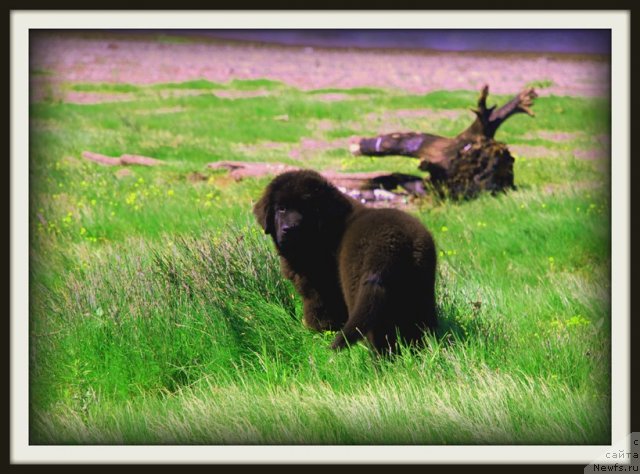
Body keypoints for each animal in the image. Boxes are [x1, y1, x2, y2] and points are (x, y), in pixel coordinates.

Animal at [252, 169, 438, 352]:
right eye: (281, 209)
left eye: (307, 209)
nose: (290, 229)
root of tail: (393, 245)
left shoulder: (318, 287)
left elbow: (318, 310)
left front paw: (317, 332)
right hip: (420, 289)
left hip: (358, 288)